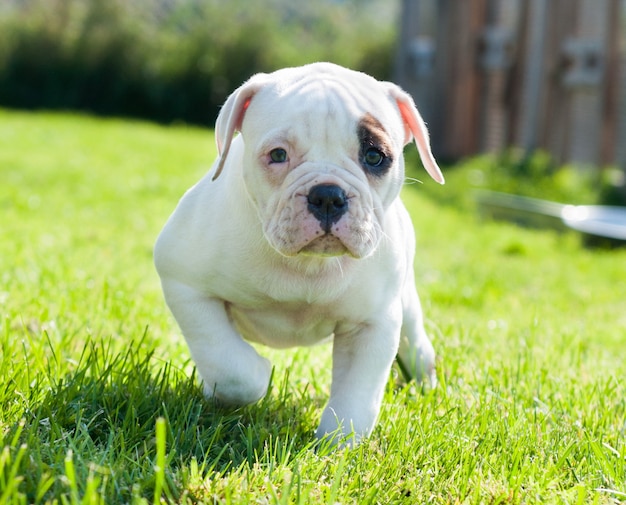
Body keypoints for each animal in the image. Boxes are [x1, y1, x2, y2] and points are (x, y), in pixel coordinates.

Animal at [153, 61, 442, 442]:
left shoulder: (372, 324)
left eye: (375, 156)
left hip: (406, 310)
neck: (307, 265)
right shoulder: (184, 283)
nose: (328, 195)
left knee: (416, 348)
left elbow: (356, 396)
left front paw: (339, 444)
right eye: (278, 155)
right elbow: (229, 365)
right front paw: (254, 374)